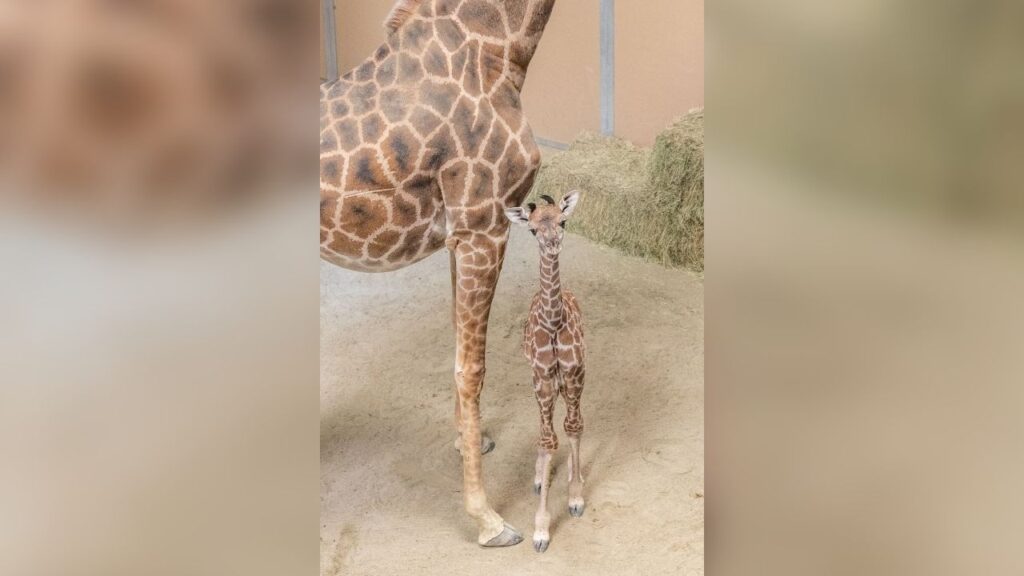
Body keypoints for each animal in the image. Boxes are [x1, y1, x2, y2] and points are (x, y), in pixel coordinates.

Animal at [319, 0, 556, 547]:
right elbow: (472, 368)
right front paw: (488, 518)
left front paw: (468, 441)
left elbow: (457, 345)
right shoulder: (484, 226)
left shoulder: (460, 234)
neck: (496, 51)